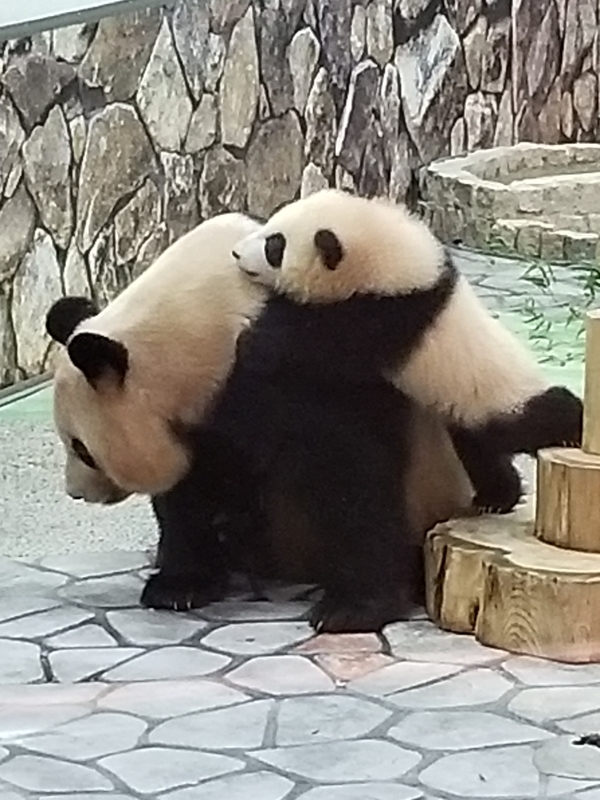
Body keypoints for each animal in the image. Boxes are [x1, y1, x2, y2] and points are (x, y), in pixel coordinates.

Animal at [46, 212, 474, 633]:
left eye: (83, 449)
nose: (75, 492)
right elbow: (190, 490)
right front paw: (179, 585)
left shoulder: (297, 366)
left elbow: (349, 473)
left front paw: (352, 608)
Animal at [232, 188, 583, 516]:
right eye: (271, 228)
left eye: (274, 247)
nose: (236, 253)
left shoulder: (391, 315)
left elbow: (322, 345)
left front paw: (255, 342)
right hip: (466, 415)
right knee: (479, 451)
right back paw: (497, 498)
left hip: (503, 396)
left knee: (539, 417)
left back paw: (569, 432)